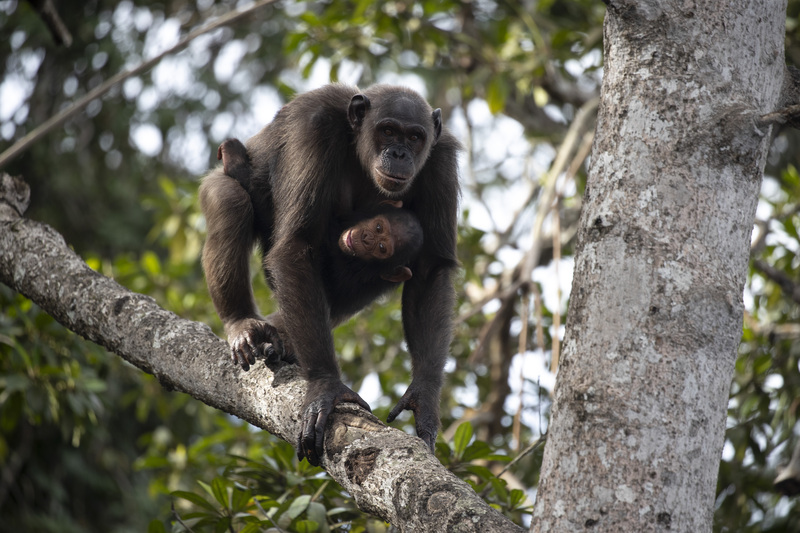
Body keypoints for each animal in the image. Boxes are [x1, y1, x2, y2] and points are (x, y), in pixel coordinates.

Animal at [199, 84, 460, 466]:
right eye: (387, 131)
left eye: (415, 137)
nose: (399, 153)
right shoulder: (315, 130)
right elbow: (297, 245)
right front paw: (325, 387)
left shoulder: (440, 161)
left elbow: (429, 270)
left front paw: (424, 398)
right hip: (218, 183)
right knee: (231, 200)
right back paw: (242, 323)